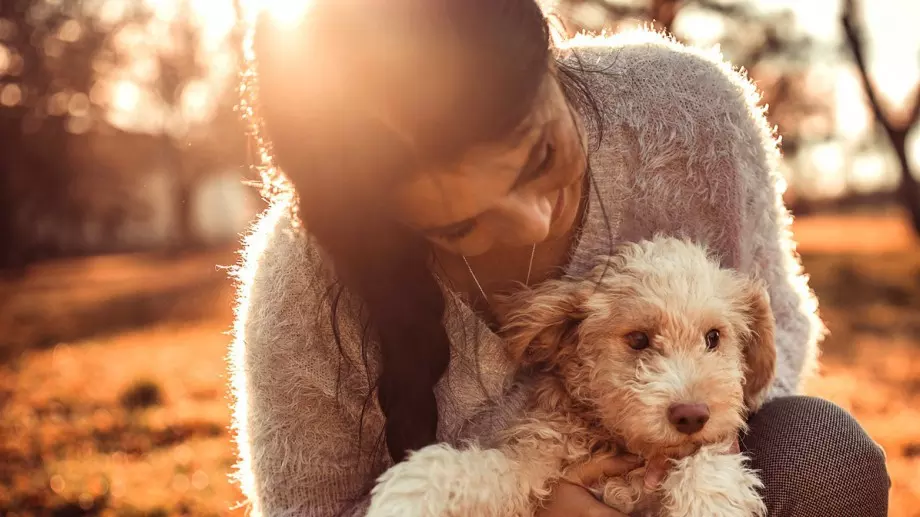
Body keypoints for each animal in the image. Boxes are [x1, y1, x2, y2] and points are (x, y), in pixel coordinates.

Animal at [366, 236, 776, 512]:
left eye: (713, 337)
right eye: (638, 339)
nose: (691, 416)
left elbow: (708, 463)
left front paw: (707, 497)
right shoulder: (540, 457)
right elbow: (490, 470)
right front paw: (415, 491)